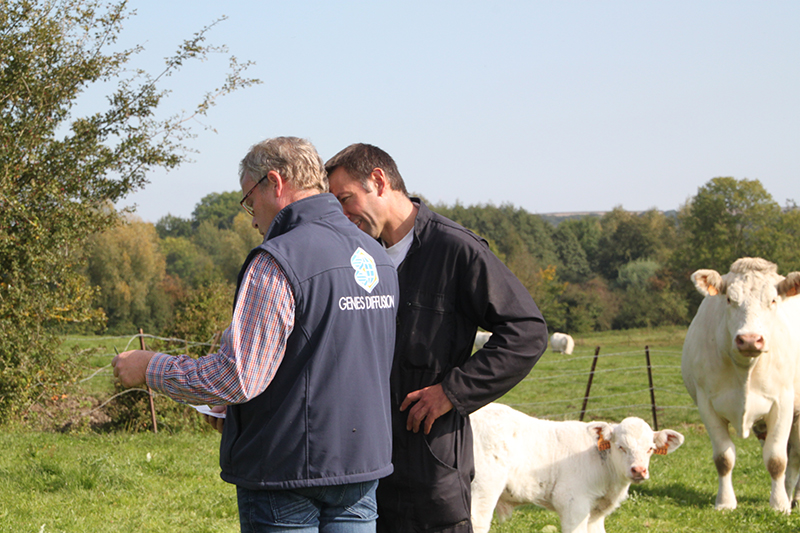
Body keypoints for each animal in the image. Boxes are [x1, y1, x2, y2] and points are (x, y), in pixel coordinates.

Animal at [472, 404, 684, 532]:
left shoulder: (596, 513)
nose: (638, 470)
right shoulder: (572, 503)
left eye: (650, 449)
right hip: (482, 489)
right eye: (620, 446)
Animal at [680, 256, 800, 512]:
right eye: (729, 299)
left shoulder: (783, 403)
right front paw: (725, 502)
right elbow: (724, 458)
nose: (750, 340)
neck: (745, 368)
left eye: (773, 300)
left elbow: (777, 459)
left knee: (795, 457)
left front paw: (779, 504)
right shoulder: (707, 404)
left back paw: (791, 497)